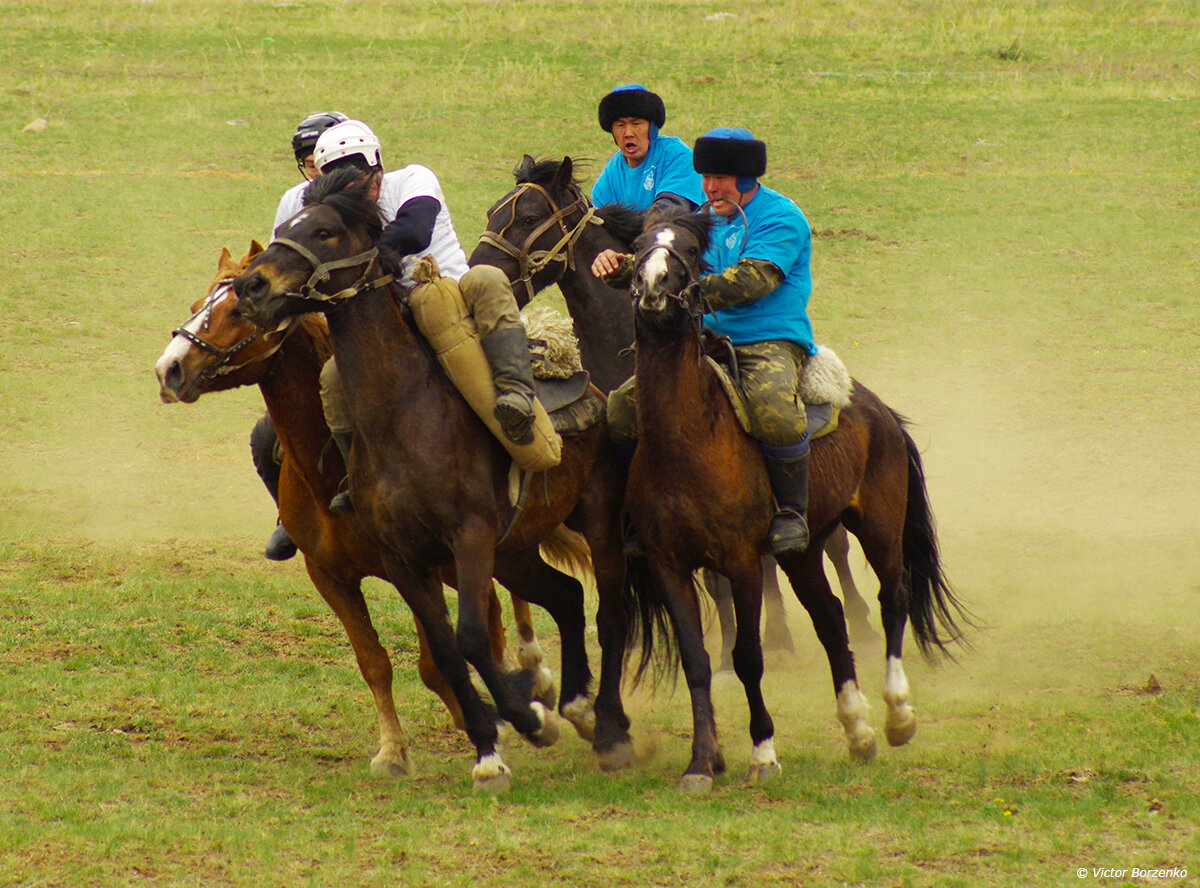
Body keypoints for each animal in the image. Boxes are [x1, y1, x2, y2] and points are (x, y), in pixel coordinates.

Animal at [152, 242, 559, 777]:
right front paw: (394, 749)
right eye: (199, 303)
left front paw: (486, 721)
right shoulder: (330, 575)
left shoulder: (422, 563)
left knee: (496, 614)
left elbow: (435, 660)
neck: (331, 473)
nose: (169, 369)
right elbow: (375, 661)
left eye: (237, 311)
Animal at [228, 168, 633, 792]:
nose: (250, 286)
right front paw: (492, 748)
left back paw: (608, 729)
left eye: (322, 231)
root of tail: (591, 382)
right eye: (287, 226)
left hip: (598, 520)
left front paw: (526, 724)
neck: (404, 414)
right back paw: (576, 706)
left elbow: (470, 637)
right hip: (516, 549)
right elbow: (444, 649)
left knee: (610, 611)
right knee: (566, 597)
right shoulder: (404, 558)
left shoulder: (468, 538)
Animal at [470, 156, 883, 662]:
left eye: (528, 217)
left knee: (833, 544)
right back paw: (779, 632)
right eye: (493, 211)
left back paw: (857, 622)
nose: (476, 272)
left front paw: (726, 648)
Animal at [619, 213, 964, 792]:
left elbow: (747, 656)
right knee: (830, 619)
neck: (687, 441)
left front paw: (762, 752)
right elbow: (696, 660)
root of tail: (876, 407)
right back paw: (858, 730)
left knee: (892, 599)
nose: (652, 285)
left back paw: (897, 714)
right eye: (641, 244)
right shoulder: (670, 566)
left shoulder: (741, 565)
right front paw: (702, 762)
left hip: (878, 528)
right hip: (801, 550)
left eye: (688, 249)